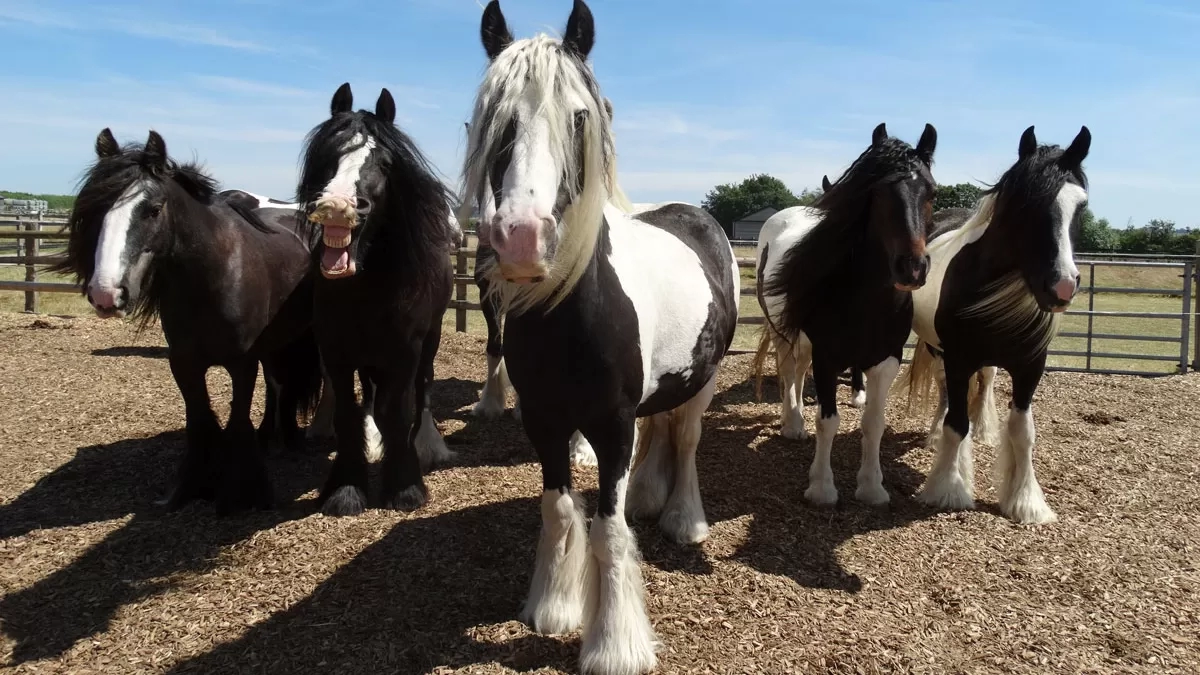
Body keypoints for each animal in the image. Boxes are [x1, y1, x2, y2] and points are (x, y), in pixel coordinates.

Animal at [50, 128, 324, 511]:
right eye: (96, 208)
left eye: (153, 210)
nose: (106, 293)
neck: (211, 276)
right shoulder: (184, 363)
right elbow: (199, 419)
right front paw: (189, 488)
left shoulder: (241, 363)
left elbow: (236, 419)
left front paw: (241, 495)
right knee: (278, 384)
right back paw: (273, 438)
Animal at [295, 82, 453, 514]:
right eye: (328, 155)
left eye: (384, 162)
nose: (338, 206)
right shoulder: (336, 351)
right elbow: (349, 412)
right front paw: (346, 489)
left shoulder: (405, 352)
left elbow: (396, 412)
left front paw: (406, 487)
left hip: (429, 342)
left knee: (422, 389)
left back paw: (428, 444)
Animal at [458, 2, 739, 667]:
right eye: (495, 116)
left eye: (579, 115)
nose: (521, 238)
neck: (571, 316)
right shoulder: (544, 421)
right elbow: (560, 509)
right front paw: (552, 607)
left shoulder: (611, 425)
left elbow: (609, 531)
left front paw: (614, 645)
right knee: (660, 432)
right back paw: (649, 497)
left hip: (704, 382)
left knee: (687, 440)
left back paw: (683, 519)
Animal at [748, 120, 936, 504]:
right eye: (877, 192)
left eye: (932, 193)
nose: (911, 268)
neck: (865, 300)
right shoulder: (827, 357)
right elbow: (828, 421)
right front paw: (821, 487)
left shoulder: (887, 359)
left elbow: (874, 424)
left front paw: (872, 487)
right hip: (782, 332)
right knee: (789, 371)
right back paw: (793, 423)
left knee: (798, 371)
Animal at [897, 123, 1094, 523]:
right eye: (1025, 203)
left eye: (1081, 205)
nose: (1062, 285)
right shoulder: (957, 359)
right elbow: (956, 422)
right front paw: (948, 489)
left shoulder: (1030, 366)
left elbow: (1022, 431)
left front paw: (1026, 501)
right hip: (937, 349)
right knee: (944, 390)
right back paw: (935, 437)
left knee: (985, 382)